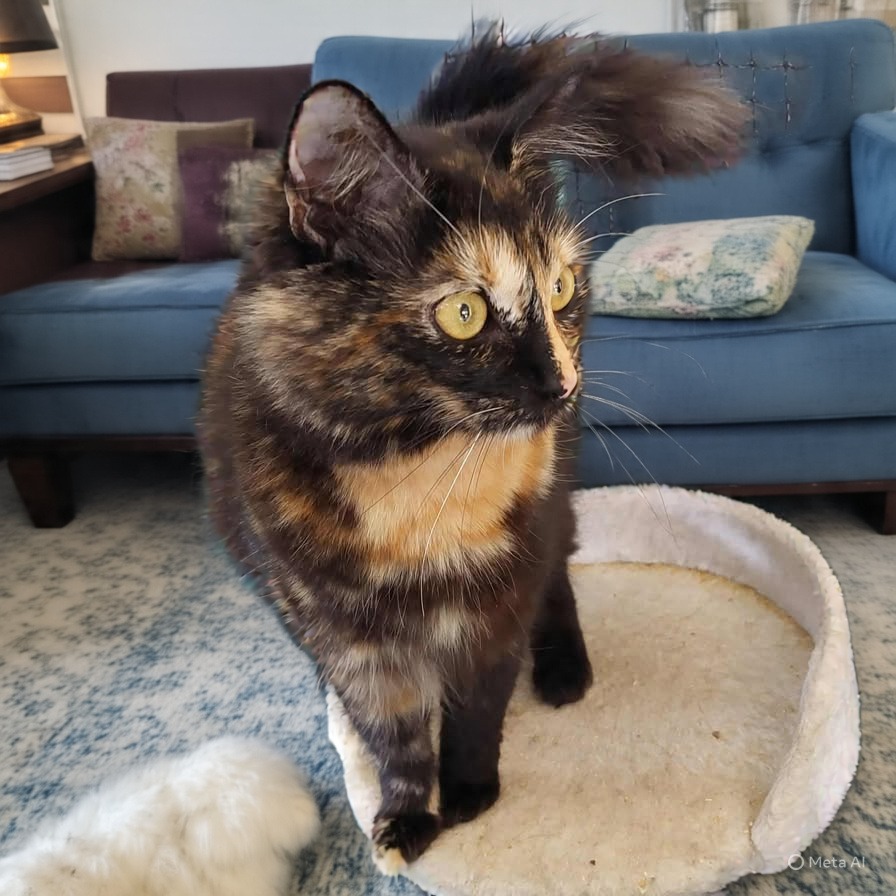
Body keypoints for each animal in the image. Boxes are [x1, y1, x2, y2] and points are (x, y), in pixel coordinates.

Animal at [198, 24, 746, 872]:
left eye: (561, 289)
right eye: (464, 312)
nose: (561, 383)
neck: (422, 478)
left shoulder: (501, 600)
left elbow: (477, 708)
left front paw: (468, 794)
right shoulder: (344, 638)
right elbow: (391, 734)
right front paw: (401, 819)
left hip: (557, 506)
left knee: (561, 578)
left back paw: (565, 671)